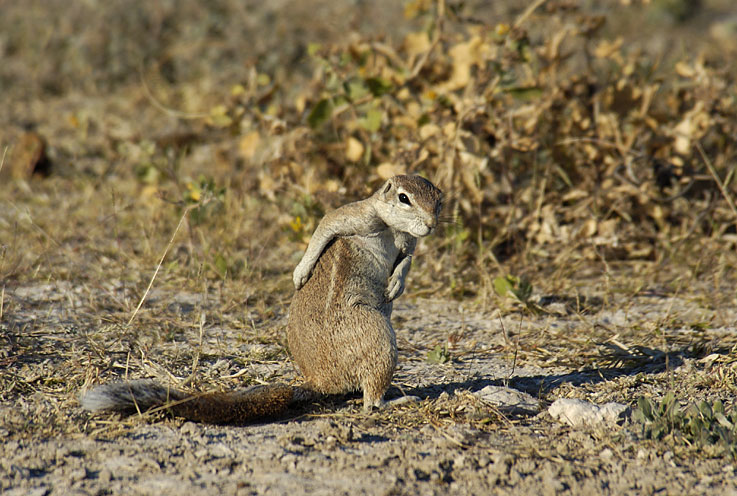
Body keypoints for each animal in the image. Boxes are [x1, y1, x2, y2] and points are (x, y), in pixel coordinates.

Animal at [84, 173, 446, 422]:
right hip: (378, 338)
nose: (431, 223)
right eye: (404, 198)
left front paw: (396, 284)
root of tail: (320, 381)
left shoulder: (410, 244)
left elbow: (407, 260)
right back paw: (398, 400)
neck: (394, 229)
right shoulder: (357, 216)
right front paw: (301, 272)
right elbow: (324, 227)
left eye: (439, 198)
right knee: (370, 402)